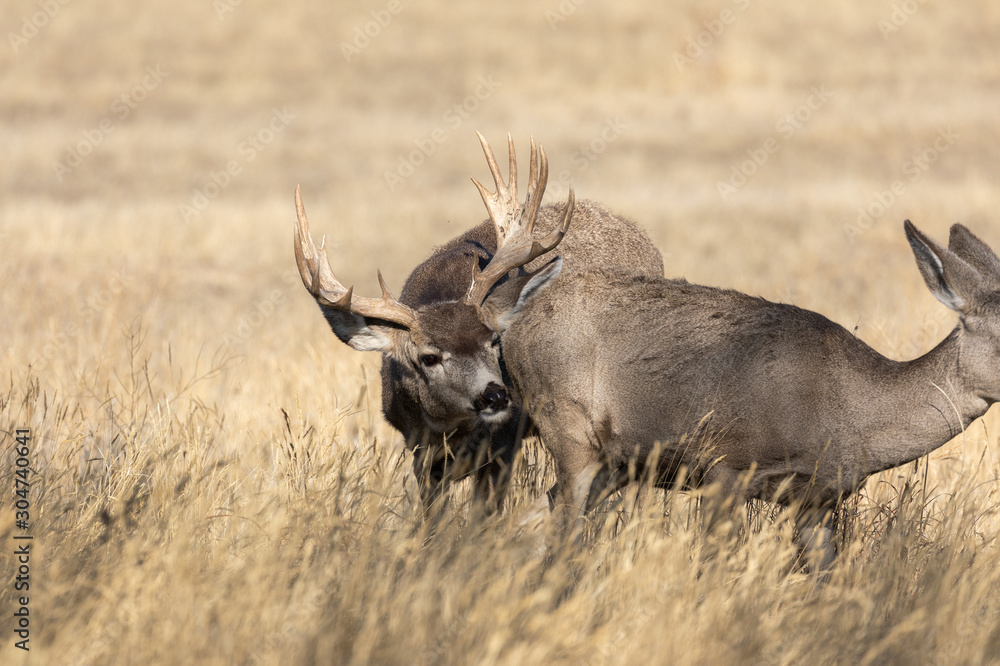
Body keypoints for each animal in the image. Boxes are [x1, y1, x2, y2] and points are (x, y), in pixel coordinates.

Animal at [293, 133, 663, 518]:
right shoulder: (421, 456)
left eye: (493, 341)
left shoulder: (504, 447)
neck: (452, 431)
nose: (496, 394)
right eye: (429, 357)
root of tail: (638, 233)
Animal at [492, 219, 1000, 567]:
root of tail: (513, 328)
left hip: (614, 462)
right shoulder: (726, 465)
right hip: (570, 428)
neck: (848, 407)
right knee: (562, 532)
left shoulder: (818, 499)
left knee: (537, 519)